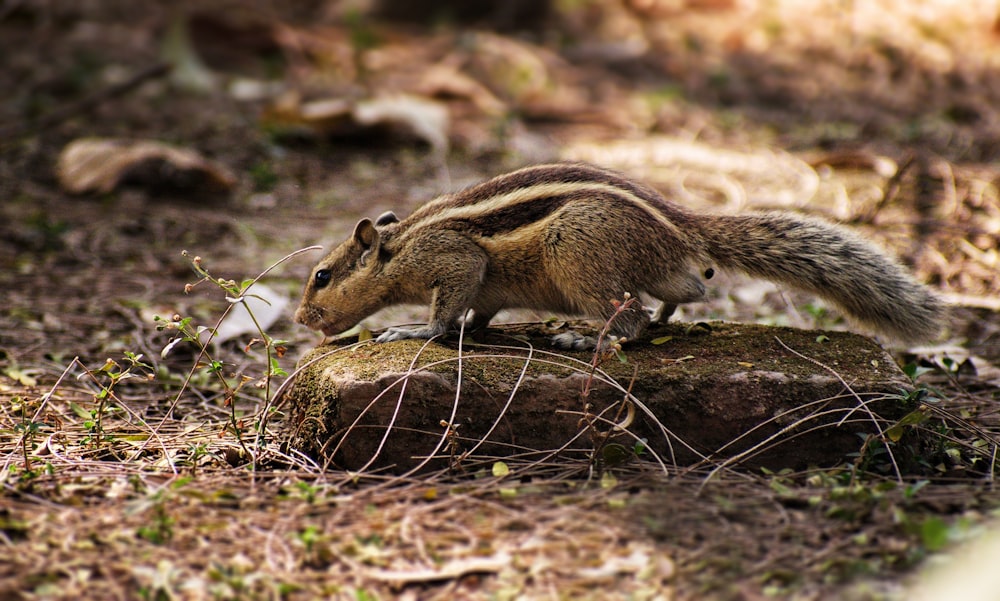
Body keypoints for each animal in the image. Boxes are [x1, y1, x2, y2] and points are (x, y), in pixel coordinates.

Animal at [294, 162, 944, 350]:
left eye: (321, 276)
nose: (300, 320)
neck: (401, 244)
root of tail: (679, 224)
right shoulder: (488, 288)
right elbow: (479, 312)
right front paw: (471, 330)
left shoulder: (453, 261)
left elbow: (447, 308)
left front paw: (411, 331)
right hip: (654, 269)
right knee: (690, 289)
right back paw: (666, 316)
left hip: (579, 255)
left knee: (628, 323)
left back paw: (589, 339)